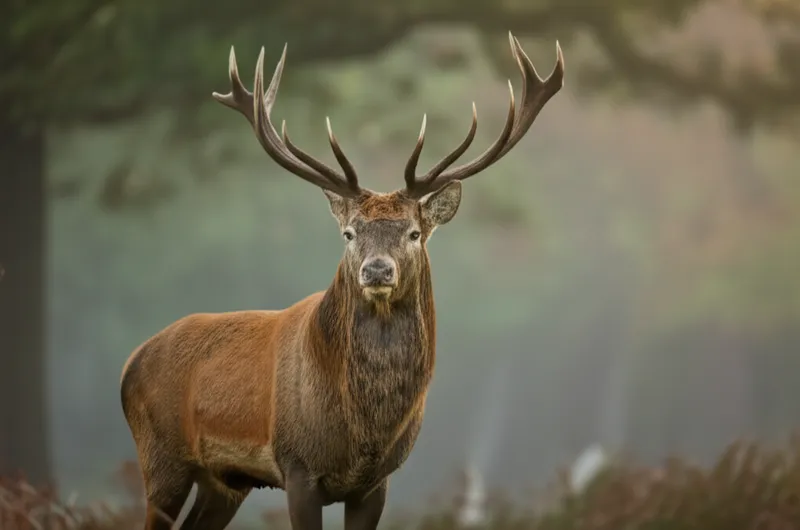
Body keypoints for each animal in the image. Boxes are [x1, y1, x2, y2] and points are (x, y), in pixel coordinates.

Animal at [120, 32, 564, 530]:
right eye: (350, 232)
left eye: (413, 233)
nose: (376, 270)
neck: (363, 435)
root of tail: (130, 364)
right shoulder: (297, 467)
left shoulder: (377, 482)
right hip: (161, 456)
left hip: (225, 481)